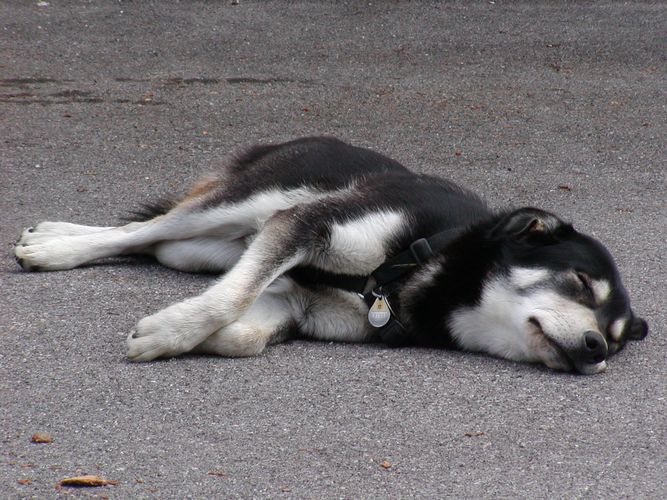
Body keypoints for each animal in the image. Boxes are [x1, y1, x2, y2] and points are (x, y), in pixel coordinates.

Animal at [15, 136, 648, 372]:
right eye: (581, 283)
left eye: (616, 340)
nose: (595, 350)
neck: (418, 274)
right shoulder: (303, 226)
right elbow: (228, 301)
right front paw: (170, 331)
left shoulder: (295, 294)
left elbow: (246, 331)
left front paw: (204, 335)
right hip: (248, 204)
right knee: (138, 230)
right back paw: (53, 245)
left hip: (199, 251)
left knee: (153, 240)